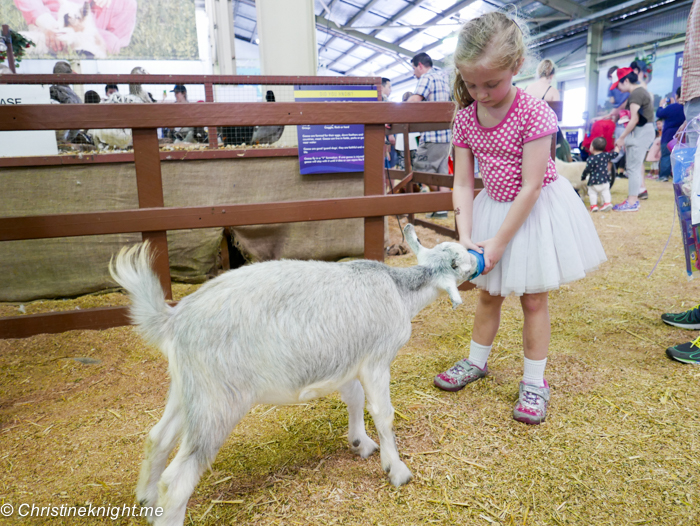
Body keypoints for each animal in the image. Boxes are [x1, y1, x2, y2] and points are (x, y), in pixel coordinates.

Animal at [110, 225, 482, 524]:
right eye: (460, 260)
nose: (480, 259)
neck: (399, 290)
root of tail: (174, 319)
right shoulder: (376, 360)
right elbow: (383, 413)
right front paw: (397, 469)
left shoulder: (351, 360)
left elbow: (354, 399)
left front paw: (360, 443)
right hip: (218, 401)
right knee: (176, 481)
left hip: (188, 390)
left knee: (157, 438)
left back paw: (146, 501)